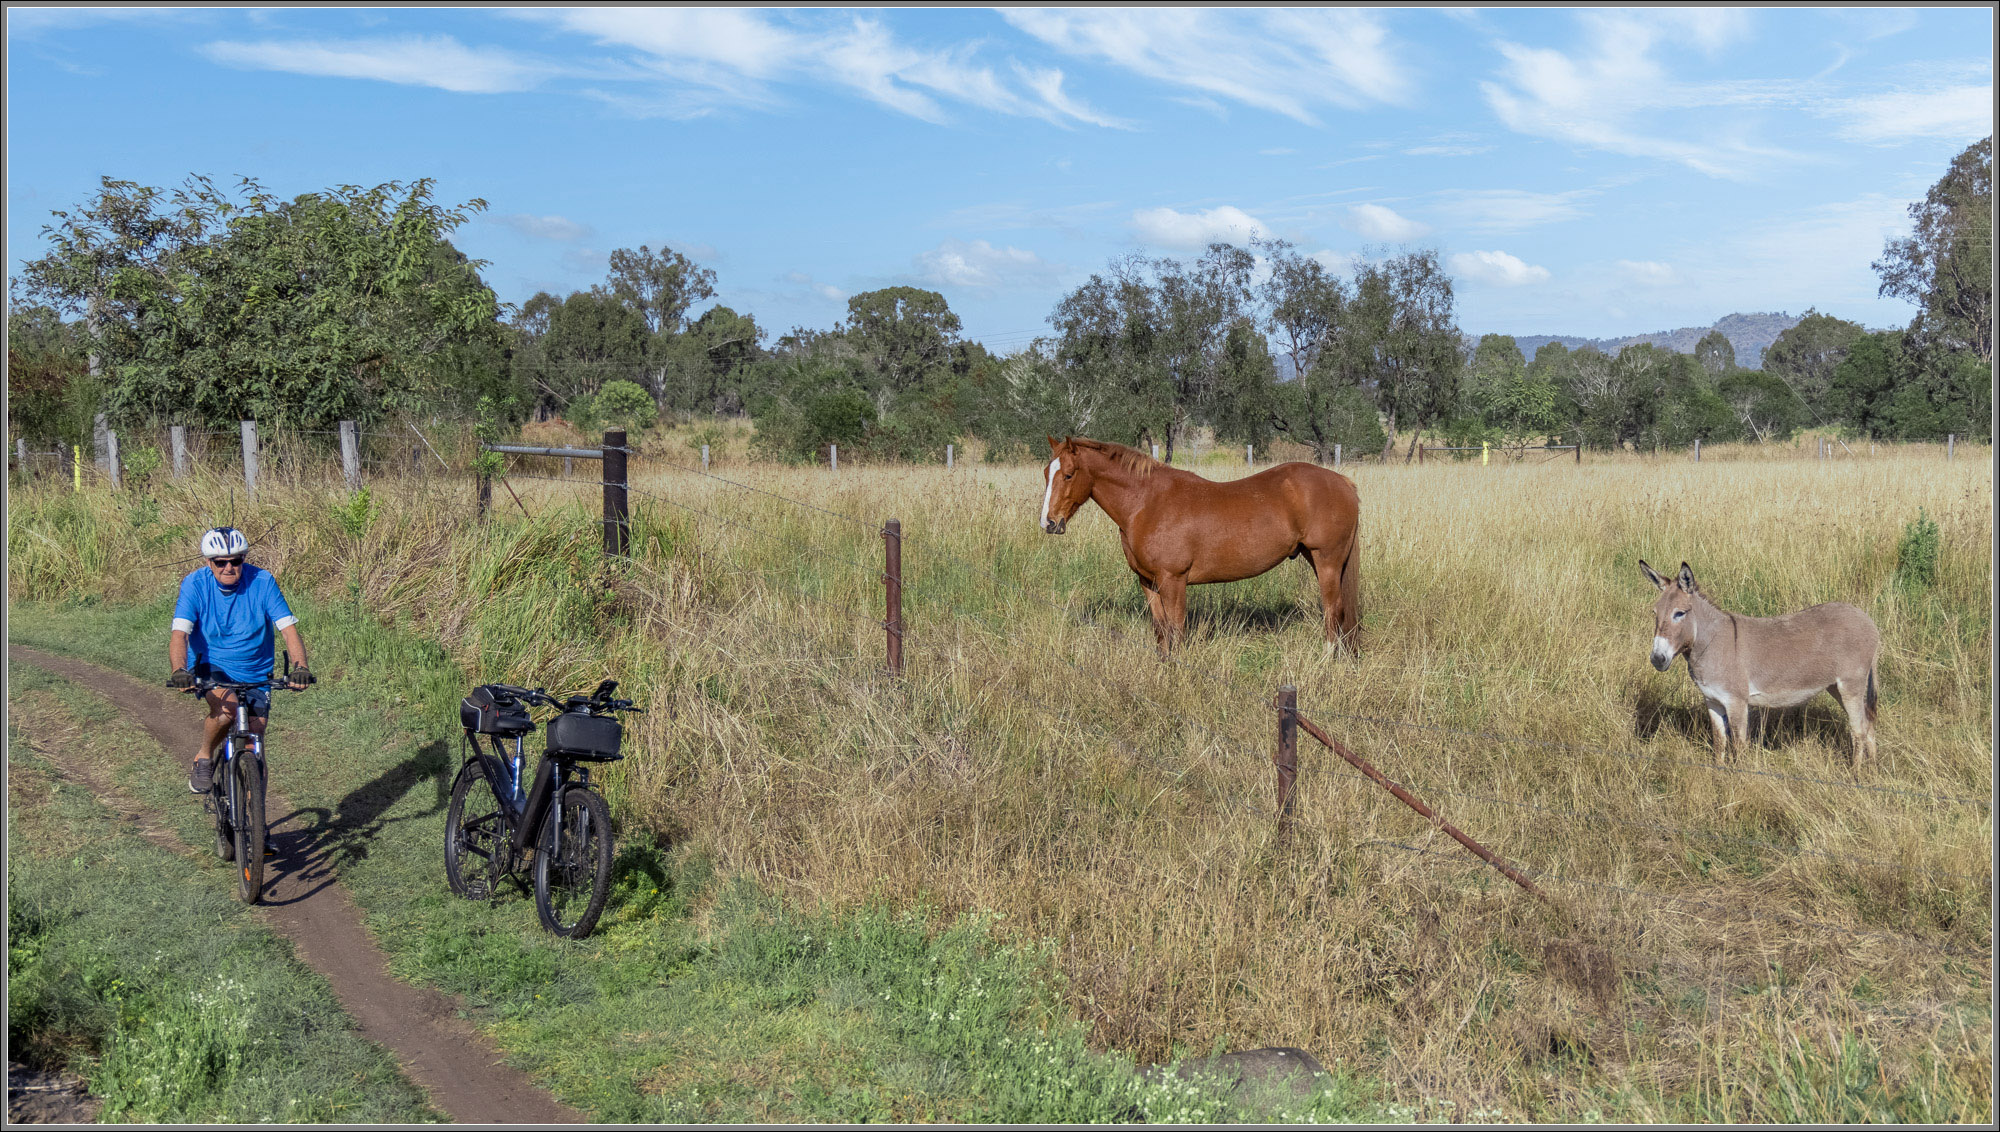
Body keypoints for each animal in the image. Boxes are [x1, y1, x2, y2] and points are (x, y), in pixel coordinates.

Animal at [1048, 438, 1360, 656]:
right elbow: (1161, 630)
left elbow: (1176, 630)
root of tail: (1342, 481)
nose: (1050, 523)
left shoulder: (1173, 581)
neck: (1146, 502)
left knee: (1332, 609)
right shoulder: (1148, 582)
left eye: (1068, 474)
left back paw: (1326, 659)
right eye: (1045, 473)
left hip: (1327, 560)